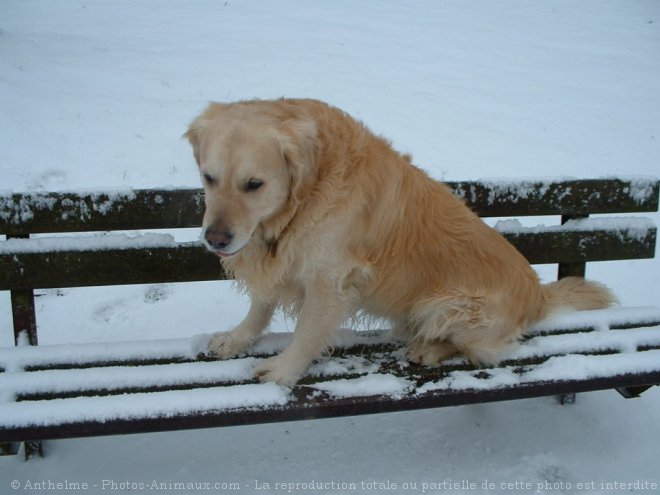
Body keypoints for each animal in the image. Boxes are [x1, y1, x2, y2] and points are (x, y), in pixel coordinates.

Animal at [184, 99, 612, 386]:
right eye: (208, 177)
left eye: (254, 184)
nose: (215, 239)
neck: (306, 195)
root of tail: (538, 294)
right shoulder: (276, 258)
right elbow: (260, 307)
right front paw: (237, 338)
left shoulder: (331, 281)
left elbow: (307, 334)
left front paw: (282, 371)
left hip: (448, 307)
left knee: (480, 349)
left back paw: (430, 348)